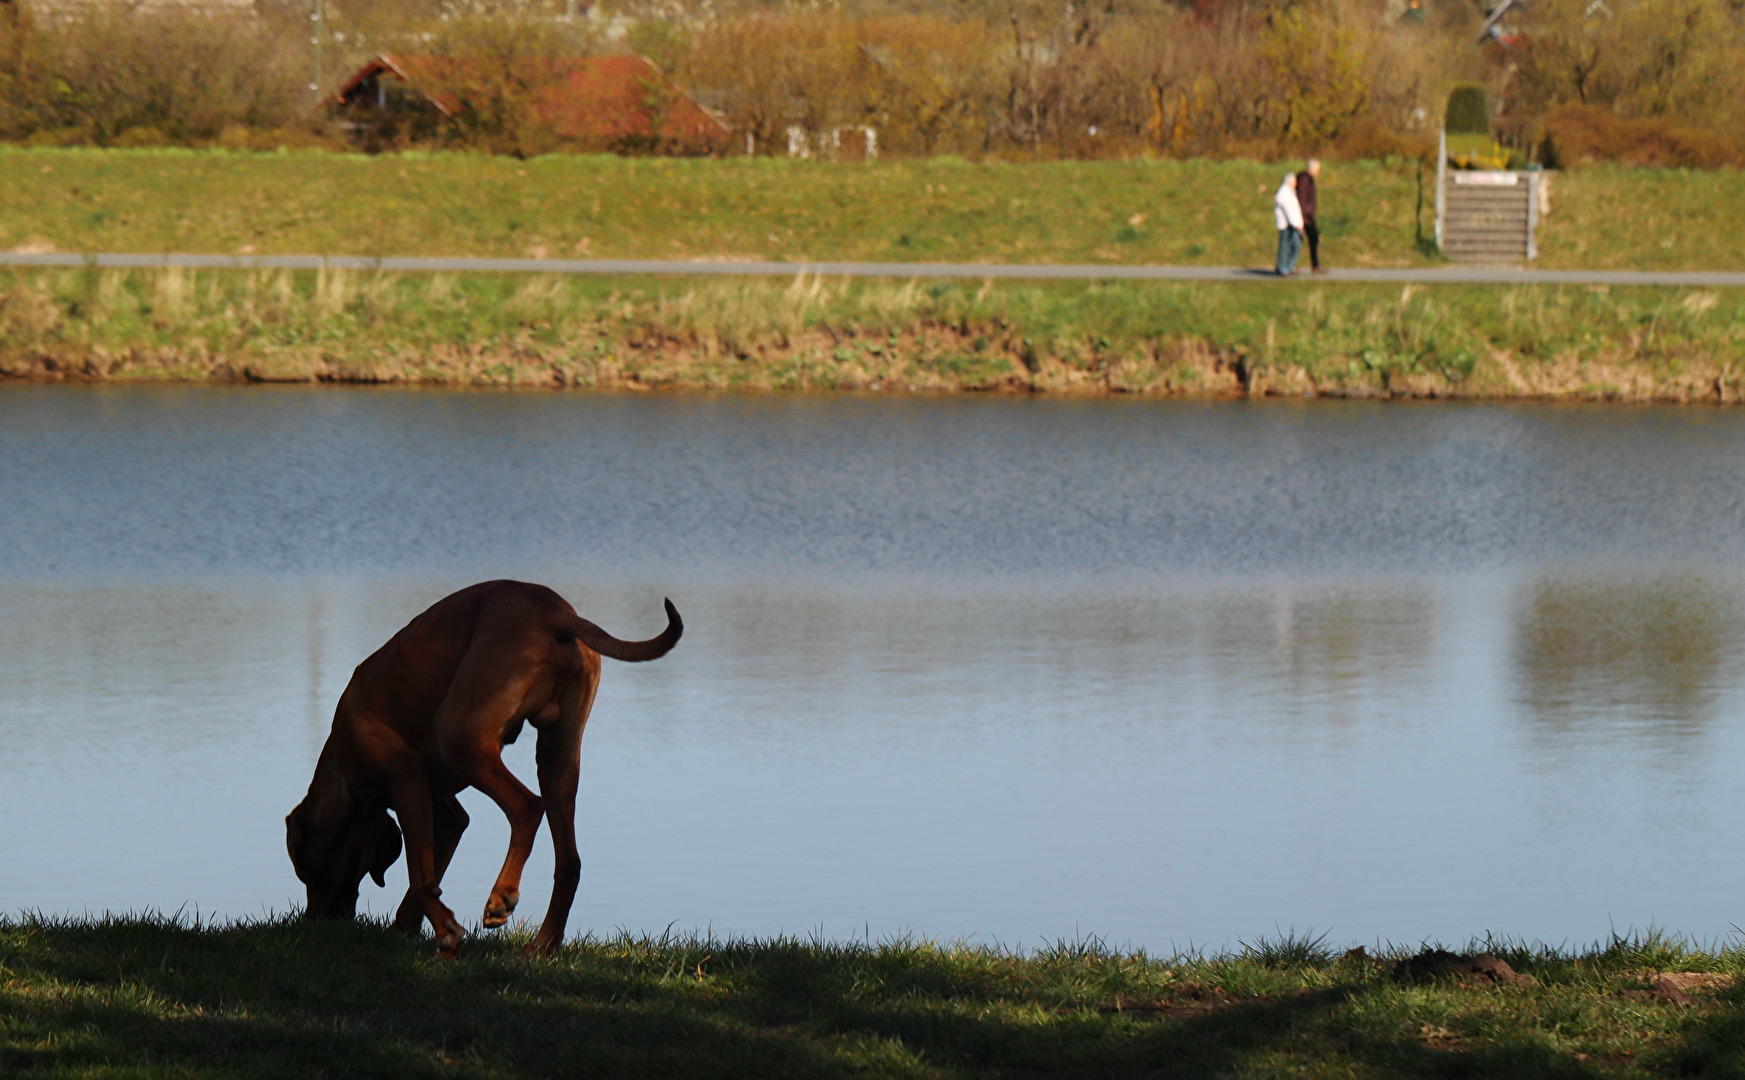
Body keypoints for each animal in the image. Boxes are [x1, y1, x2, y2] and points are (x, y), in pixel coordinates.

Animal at [286, 582, 680, 956]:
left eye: (303, 869)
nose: (312, 921)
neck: (342, 769)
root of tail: (555, 612)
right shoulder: (442, 809)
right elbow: (430, 869)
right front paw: (421, 931)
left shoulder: (407, 780)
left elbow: (419, 875)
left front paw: (444, 930)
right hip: (558, 757)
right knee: (569, 861)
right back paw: (542, 947)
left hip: (460, 736)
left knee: (527, 807)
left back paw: (502, 897)